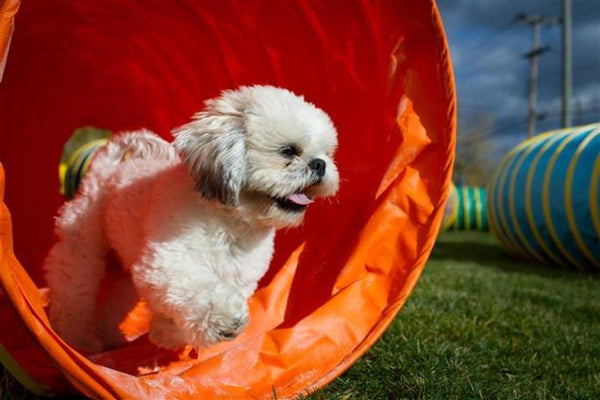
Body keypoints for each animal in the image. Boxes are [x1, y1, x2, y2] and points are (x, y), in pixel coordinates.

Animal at [43, 85, 338, 354]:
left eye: (325, 154)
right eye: (288, 151)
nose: (319, 164)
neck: (232, 222)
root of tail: (109, 165)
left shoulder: (240, 280)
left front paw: (166, 333)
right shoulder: (166, 264)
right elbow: (198, 290)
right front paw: (223, 321)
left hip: (123, 273)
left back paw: (110, 339)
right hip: (83, 249)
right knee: (73, 294)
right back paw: (76, 341)